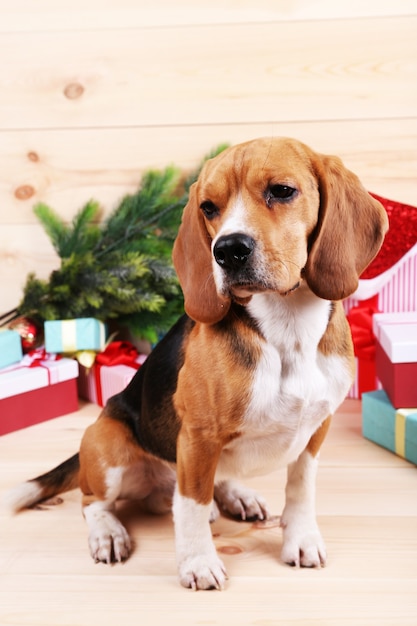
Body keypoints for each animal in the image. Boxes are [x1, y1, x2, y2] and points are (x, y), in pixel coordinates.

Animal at [5, 136, 386, 588]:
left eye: (282, 191)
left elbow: (301, 489)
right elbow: (190, 506)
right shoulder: (199, 437)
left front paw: (302, 538)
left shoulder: (316, 431)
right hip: (105, 443)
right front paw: (198, 562)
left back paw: (237, 495)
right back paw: (108, 533)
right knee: (92, 501)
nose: (228, 250)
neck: (287, 329)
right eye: (208, 207)